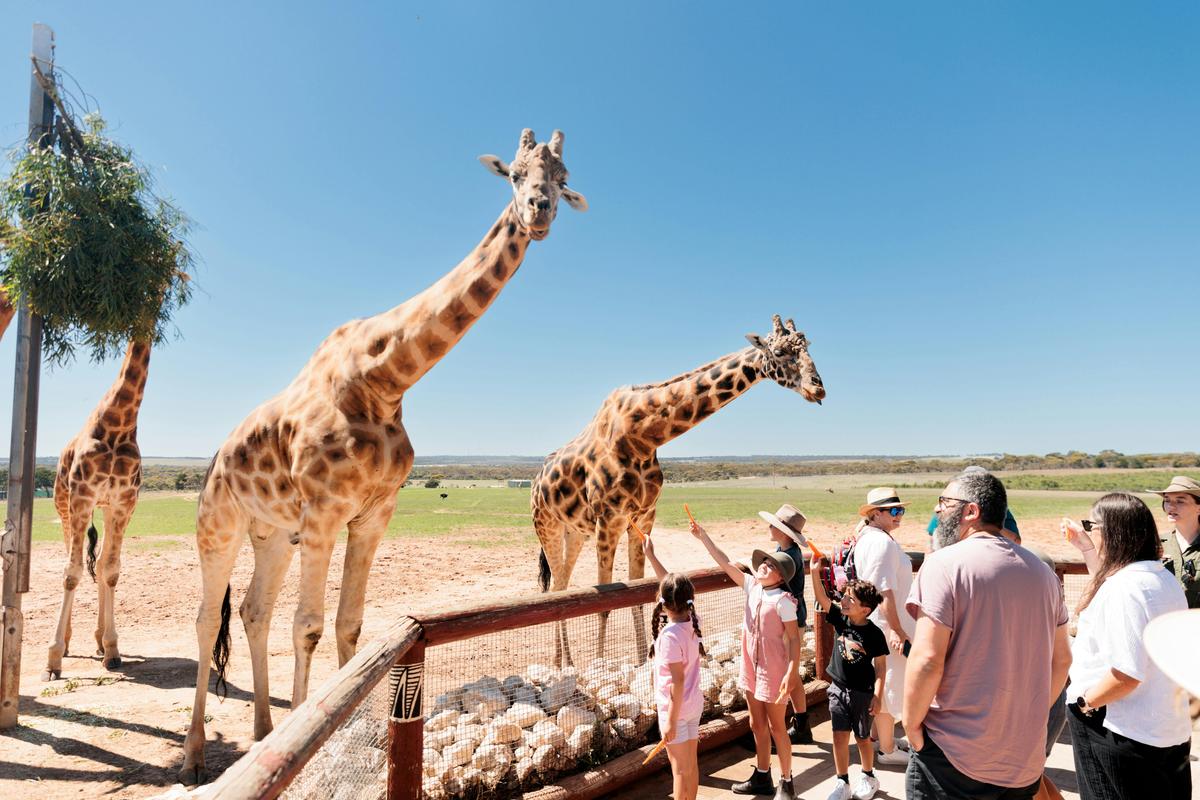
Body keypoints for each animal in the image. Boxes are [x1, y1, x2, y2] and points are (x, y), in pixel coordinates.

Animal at [42, 338, 152, 679]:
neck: (120, 423)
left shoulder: (123, 502)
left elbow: (110, 570)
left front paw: (112, 649)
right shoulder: (82, 497)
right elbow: (72, 572)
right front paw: (52, 660)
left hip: (101, 509)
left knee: (100, 562)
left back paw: (100, 641)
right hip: (63, 504)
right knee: (71, 561)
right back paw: (66, 642)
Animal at [178, 129, 587, 784]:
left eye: (563, 174)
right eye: (514, 173)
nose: (539, 210)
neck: (384, 378)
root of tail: (217, 453)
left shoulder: (373, 514)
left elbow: (350, 625)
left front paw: (355, 738)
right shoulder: (324, 512)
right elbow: (309, 626)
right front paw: (310, 749)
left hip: (273, 533)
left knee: (252, 611)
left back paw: (264, 732)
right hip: (218, 523)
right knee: (204, 617)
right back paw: (194, 757)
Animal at [531, 315, 824, 666]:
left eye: (808, 347)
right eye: (779, 352)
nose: (817, 388)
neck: (644, 435)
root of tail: (536, 482)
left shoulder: (644, 516)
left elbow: (637, 592)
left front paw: (643, 660)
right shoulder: (610, 517)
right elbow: (604, 602)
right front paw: (601, 665)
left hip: (574, 532)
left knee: (561, 587)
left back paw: (565, 663)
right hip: (547, 526)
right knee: (555, 590)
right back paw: (565, 664)